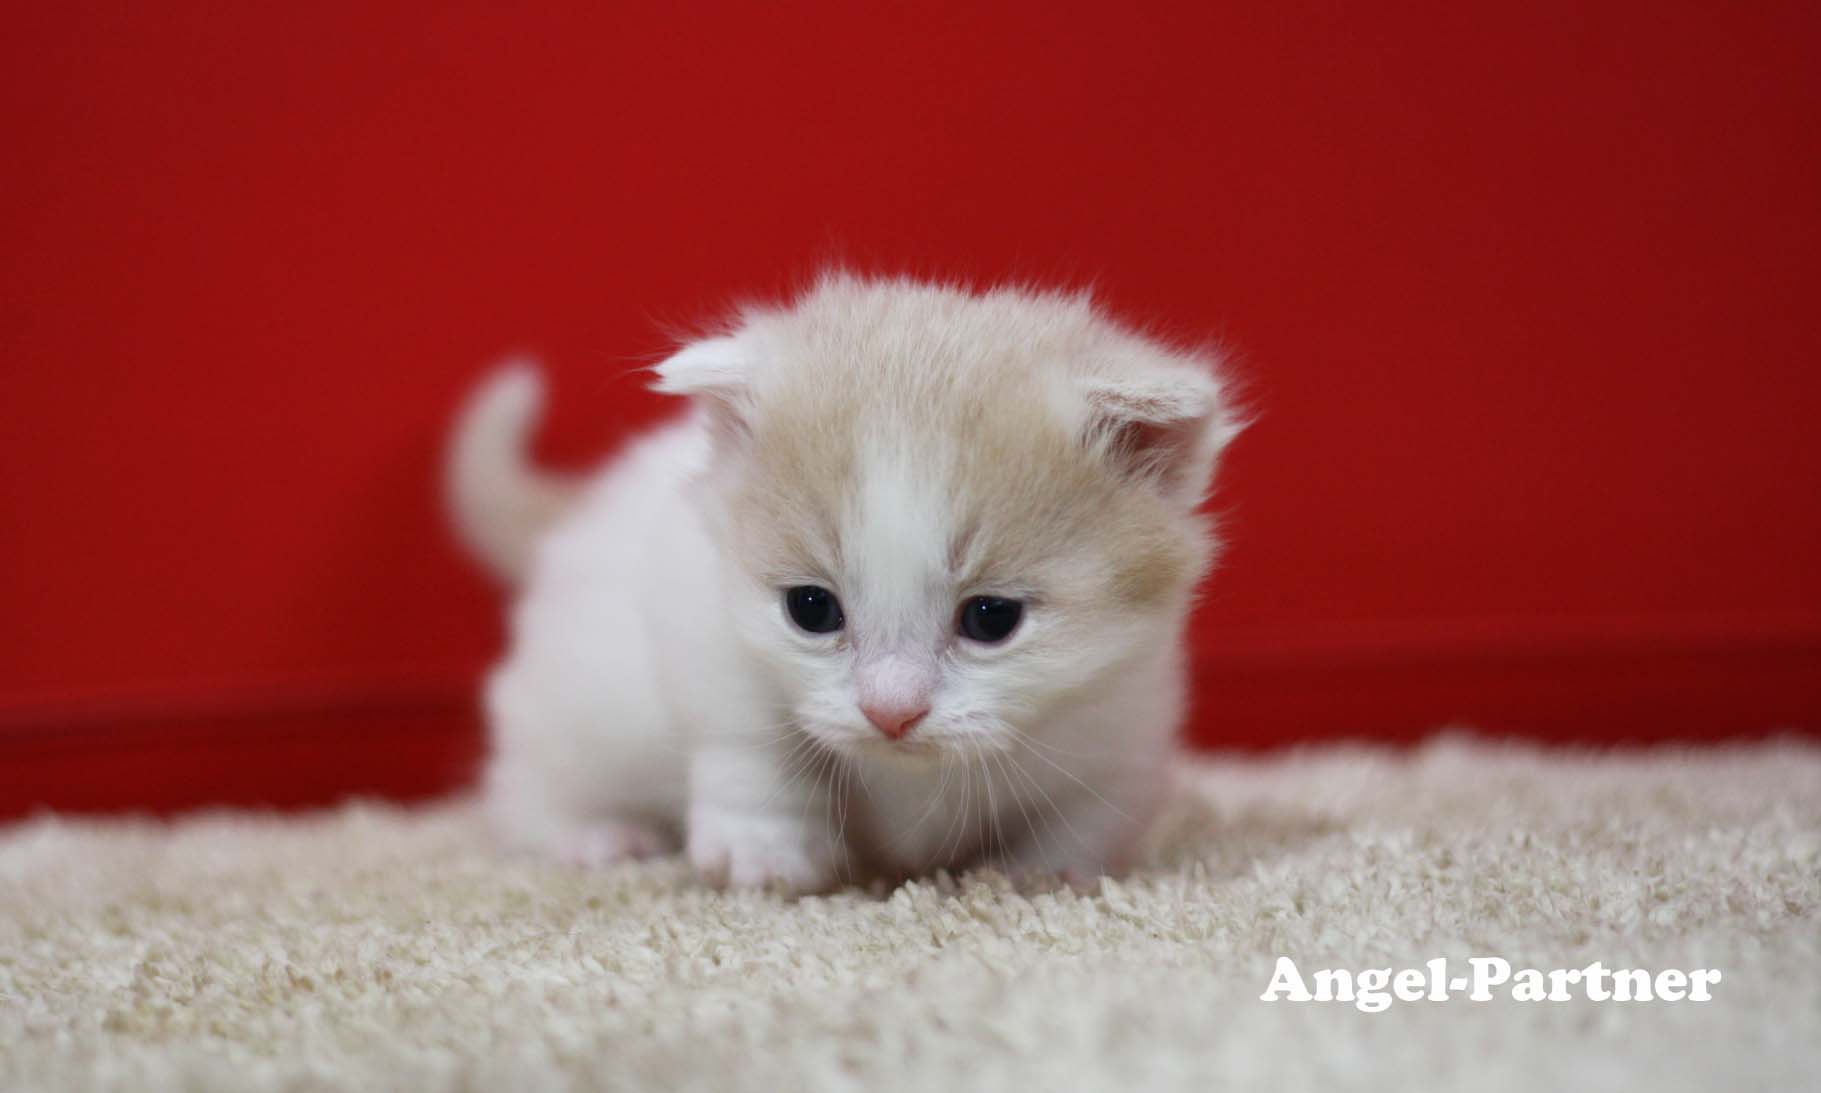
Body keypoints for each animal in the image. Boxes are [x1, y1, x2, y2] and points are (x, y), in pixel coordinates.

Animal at [447, 271, 1245, 888]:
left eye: (991, 618)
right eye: (811, 609)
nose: (890, 712)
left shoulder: (1124, 714)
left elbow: (1089, 813)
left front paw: (1045, 873)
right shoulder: (702, 623)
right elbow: (748, 744)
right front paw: (763, 850)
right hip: (572, 705)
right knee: (522, 783)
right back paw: (593, 837)